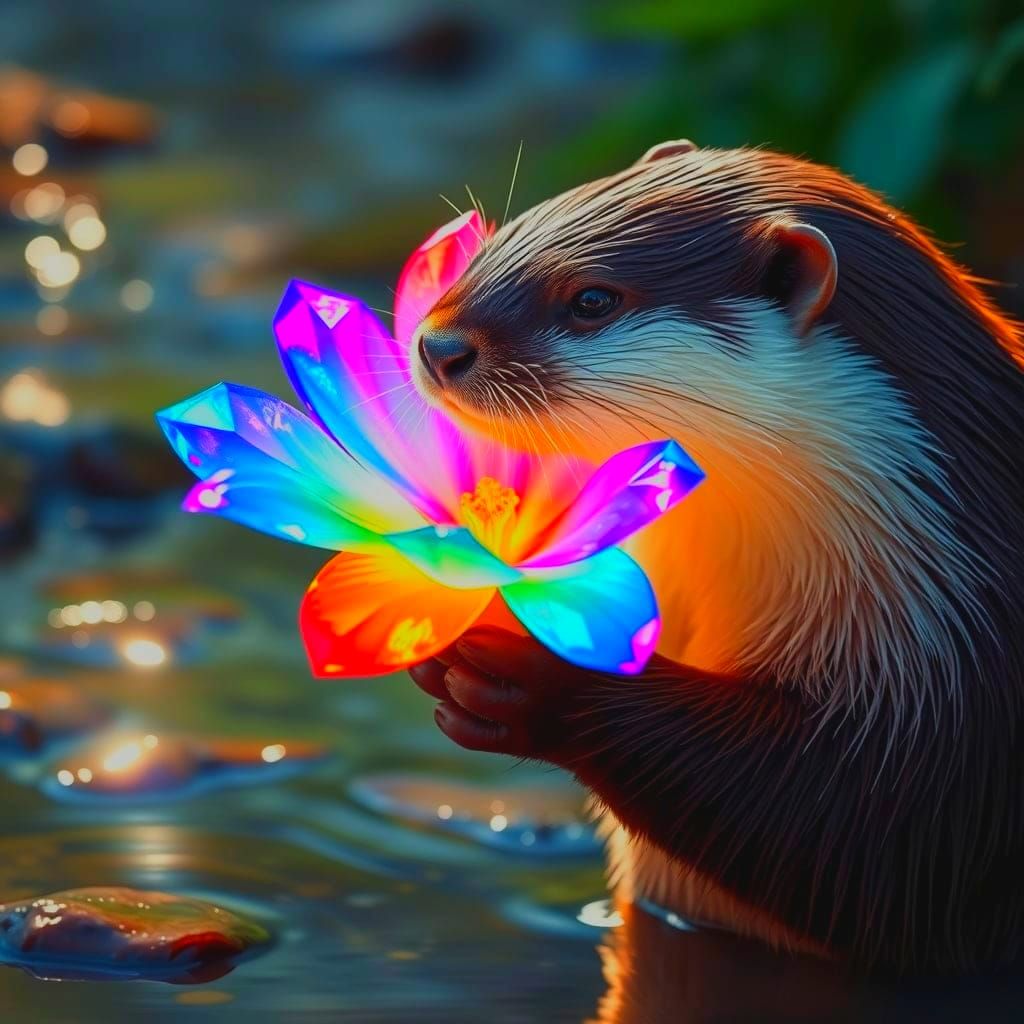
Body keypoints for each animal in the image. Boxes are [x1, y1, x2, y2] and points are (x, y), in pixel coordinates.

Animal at [406, 141, 1024, 975]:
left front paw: (532, 674)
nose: (440, 345)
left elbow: (860, 837)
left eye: (593, 299)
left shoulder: (958, 735)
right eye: (501, 240)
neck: (963, 583)